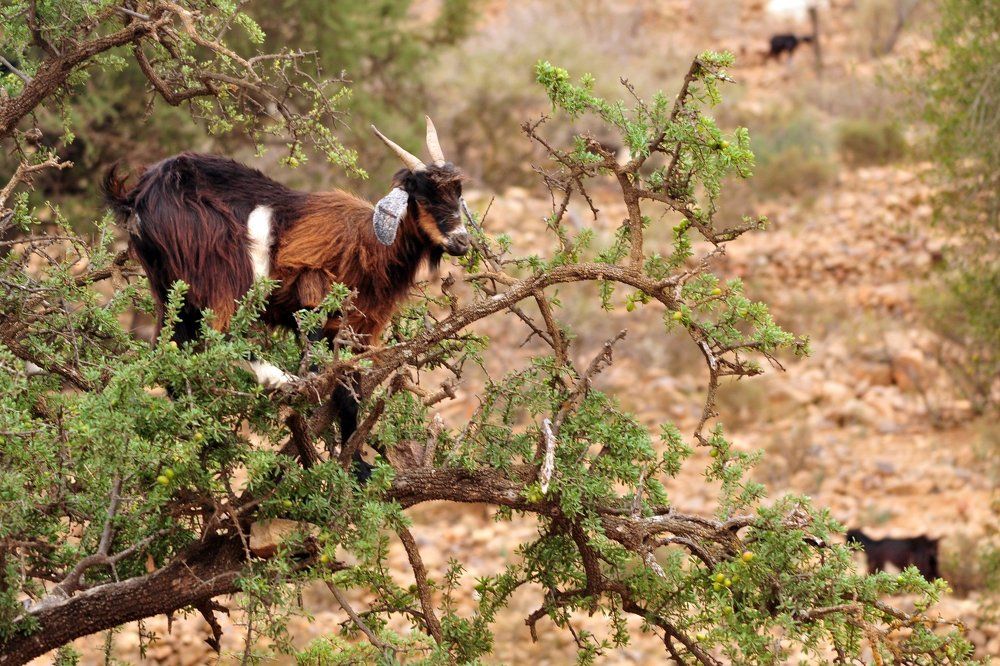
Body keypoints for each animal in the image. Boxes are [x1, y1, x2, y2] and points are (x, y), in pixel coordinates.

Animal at [104, 117, 471, 477]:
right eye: (425, 198)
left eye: (457, 195)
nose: (463, 241)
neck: (371, 246)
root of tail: (138, 196)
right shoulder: (314, 298)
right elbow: (329, 378)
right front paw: (351, 461)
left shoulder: (355, 328)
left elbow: (349, 393)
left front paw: (356, 465)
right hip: (220, 270)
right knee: (219, 335)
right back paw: (279, 381)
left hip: (169, 285)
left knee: (171, 347)